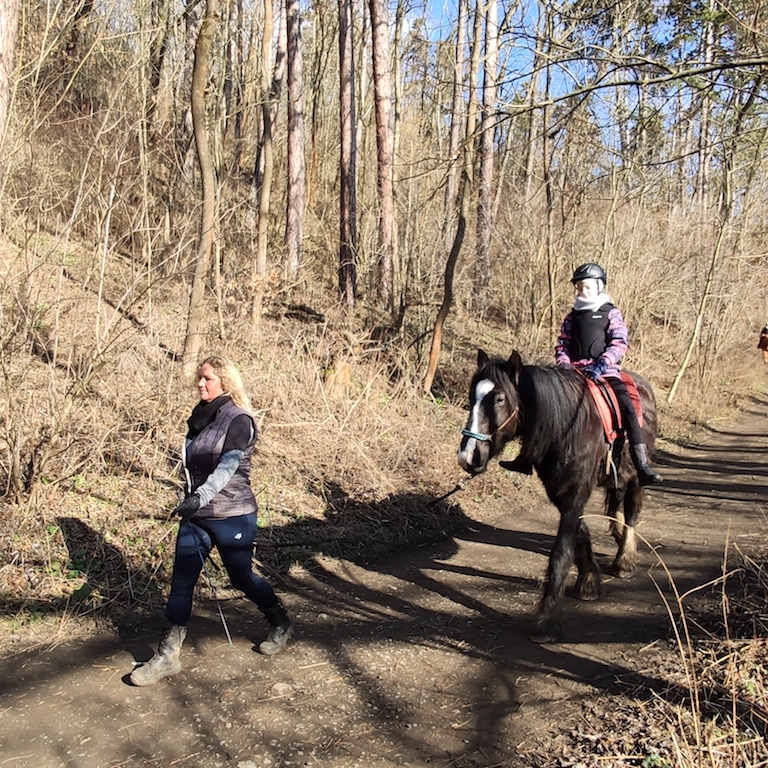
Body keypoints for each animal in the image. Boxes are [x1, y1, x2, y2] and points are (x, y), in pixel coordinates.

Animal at [456, 352, 660, 644]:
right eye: (472, 395)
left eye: (499, 399)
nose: (468, 455)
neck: (566, 427)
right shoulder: (560, 490)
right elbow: (580, 534)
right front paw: (589, 581)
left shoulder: (575, 492)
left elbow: (562, 552)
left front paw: (546, 620)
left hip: (635, 474)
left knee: (633, 510)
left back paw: (625, 559)